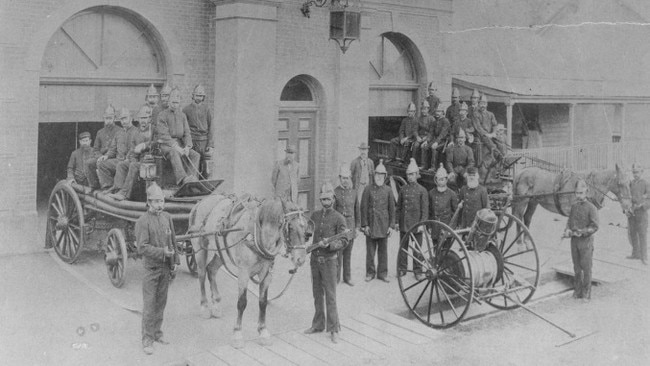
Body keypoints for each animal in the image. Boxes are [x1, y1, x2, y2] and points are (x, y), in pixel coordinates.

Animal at [187, 196, 308, 348]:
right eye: (290, 227)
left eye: (306, 229)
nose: (300, 259)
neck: (255, 233)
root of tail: (201, 201)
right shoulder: (243, 272)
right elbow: (242, 303)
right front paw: (237, 334)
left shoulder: (266, 273)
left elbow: (263, 302)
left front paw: (263, 331)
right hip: (199, 248)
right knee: (202, 275)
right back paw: (204, 307)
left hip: (220, 251)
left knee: (212, 270)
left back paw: (216, 305)